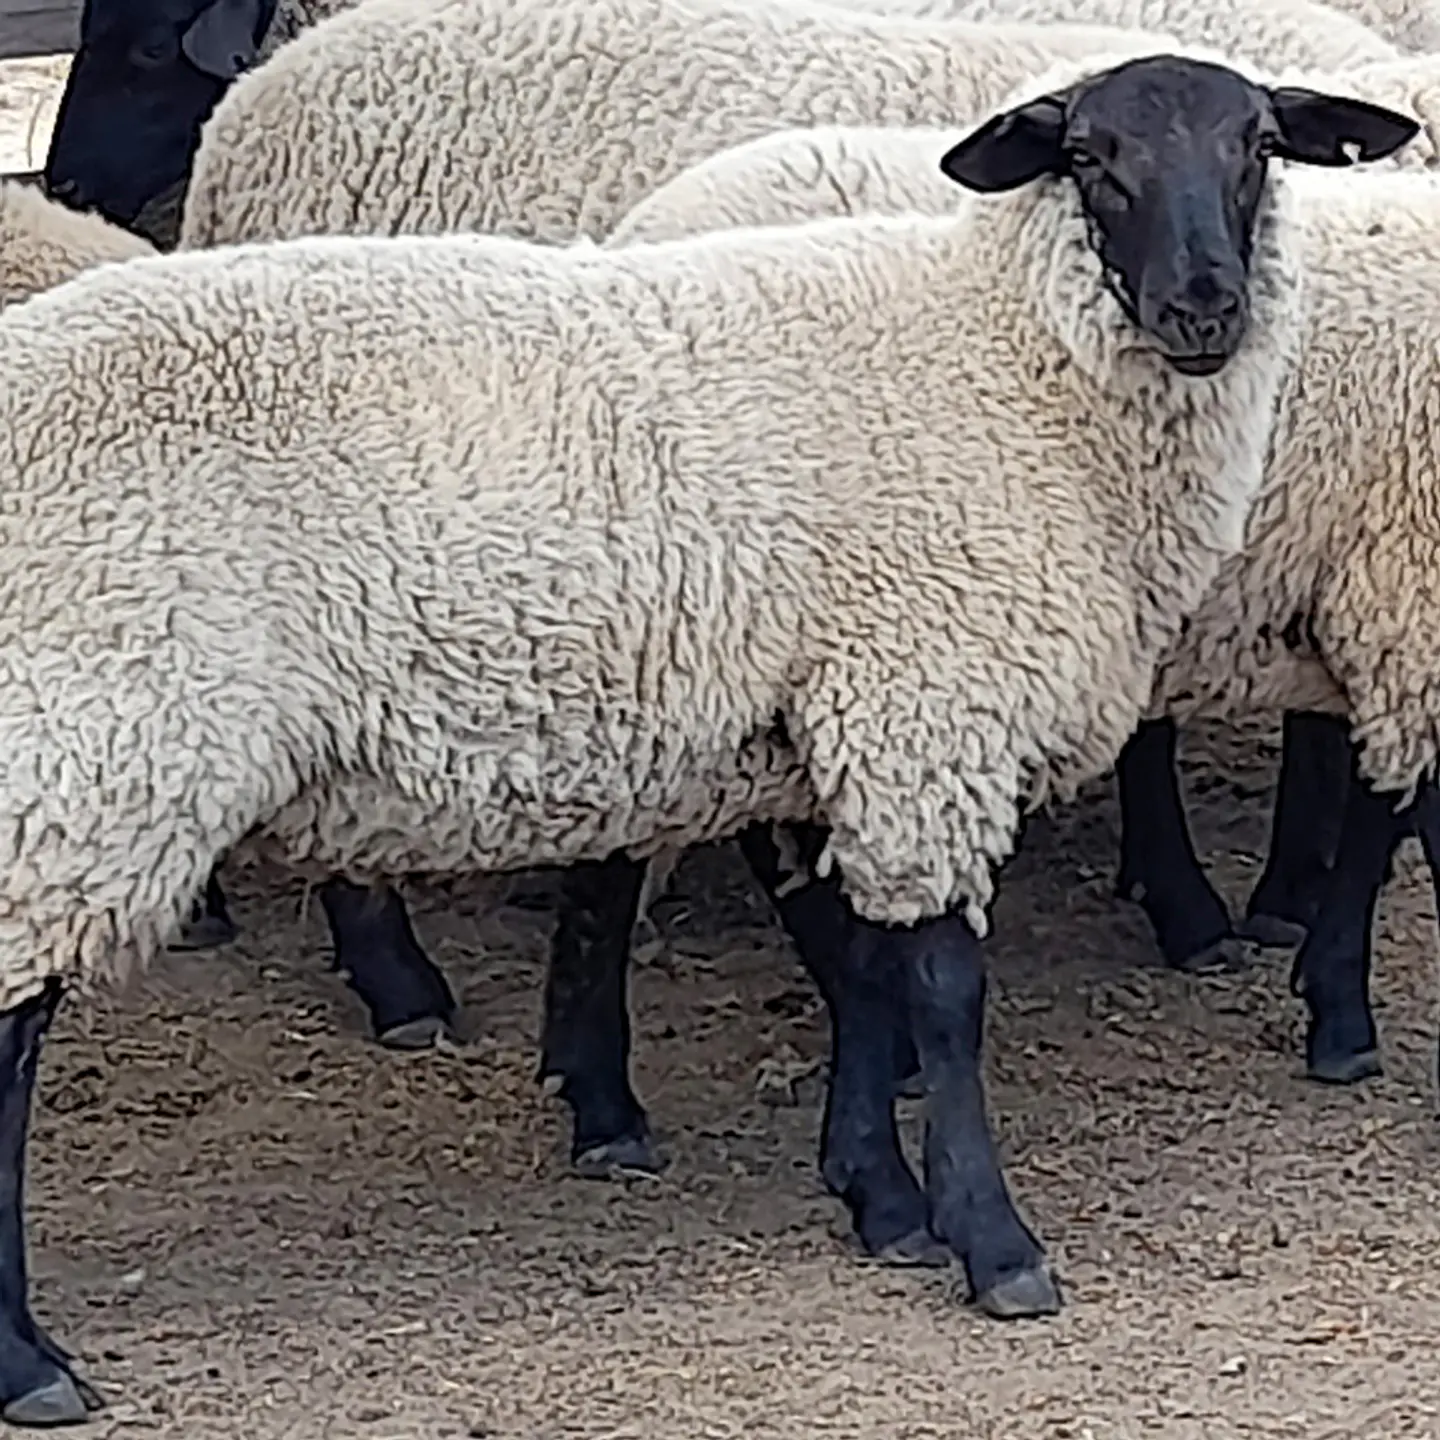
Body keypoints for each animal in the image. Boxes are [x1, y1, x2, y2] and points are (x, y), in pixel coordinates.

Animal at [0, 54, 1408, 1420]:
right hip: (93, 745)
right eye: (1088, 157)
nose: (1204, 311)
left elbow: (861, 970)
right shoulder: (923, 705)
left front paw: (880, 1199)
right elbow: (942, 994)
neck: (1005, 359)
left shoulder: (839, 723)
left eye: (1257, 147)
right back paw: (35, 1365)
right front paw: (995, 1245)